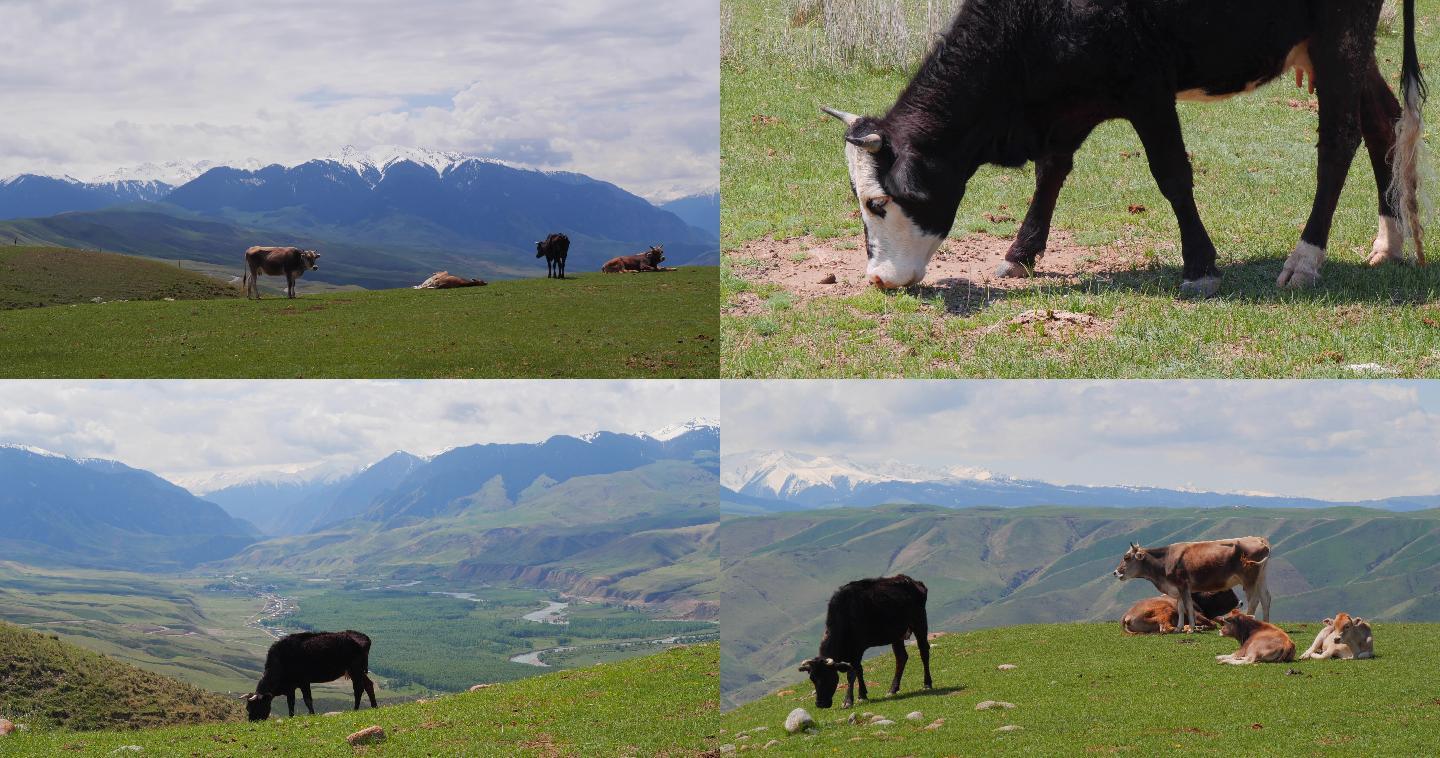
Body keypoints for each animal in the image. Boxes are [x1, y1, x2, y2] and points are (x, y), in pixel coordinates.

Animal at [244, 631, 377, 726]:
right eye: (247, 708)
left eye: (257, 706)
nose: (252, 722)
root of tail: (364, 637)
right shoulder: (290, 687)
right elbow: (290, 703)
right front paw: (291, 717)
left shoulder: (304, 682)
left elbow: (307, 700)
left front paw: (312, 715)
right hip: (356, 671)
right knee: (366, 685)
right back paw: (371, 707)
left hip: (355, 669)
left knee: (360, 688)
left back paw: (358, 709)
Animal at [800, 576, 933, 714]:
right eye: (812, 678)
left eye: (828, 677)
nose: (820, 704)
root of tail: (912, 581)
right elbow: (859, 670)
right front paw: (862, 695)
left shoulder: (857, 650)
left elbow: (852, 674)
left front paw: (848, 701)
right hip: (897, 635)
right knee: (901, 657)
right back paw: (892, 690)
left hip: (919, 622)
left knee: (924, 651)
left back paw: (927, 684)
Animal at [829, 0, 1422, 296]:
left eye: (876, 203)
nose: (878, 279)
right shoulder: (1072, 102)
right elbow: (1050, 173)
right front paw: (1020, 254)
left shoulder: (1148, 89)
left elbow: (1172, 174)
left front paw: (1200, 265)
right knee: (1384, 121)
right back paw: (1389, 241)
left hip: (1339, 38)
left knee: (1339, 140)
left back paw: (1305, 260)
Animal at [1111, 538, 1272, 639]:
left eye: (1126, 557)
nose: (1115, 572)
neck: (1165, 560)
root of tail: (1259, 539)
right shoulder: (1177, 588)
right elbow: (1181, 607)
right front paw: (1179, 628)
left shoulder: (1183, 585)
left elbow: (1188, 606)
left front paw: (1192, 628)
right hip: (1261, 577)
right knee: (1266, 598)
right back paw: (1266, 624)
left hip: (1249, 579)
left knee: (1254, 600)